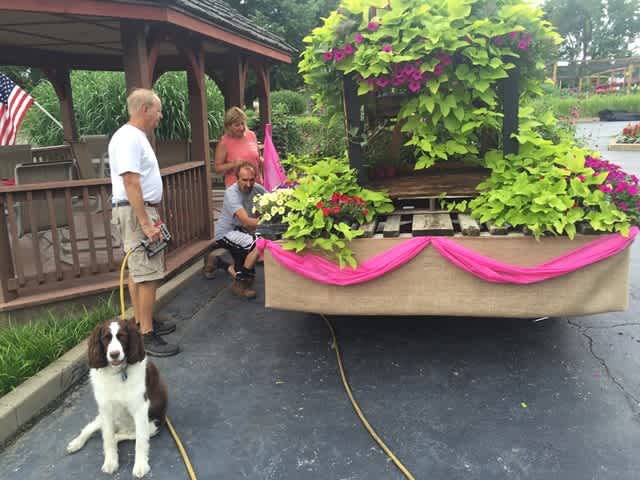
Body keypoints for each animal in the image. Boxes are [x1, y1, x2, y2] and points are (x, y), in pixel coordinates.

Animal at [67, 319, 168, 478]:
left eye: (122, 337)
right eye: (105, 338)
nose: (114, 354)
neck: (118, 373)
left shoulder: (140, 409)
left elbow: (140, 441)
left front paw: (140, 465)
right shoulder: (106, 409)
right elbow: (107, 437)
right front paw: (110, 462)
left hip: (153, 426)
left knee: (127, 435)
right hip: (105, 417)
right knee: (92, 428)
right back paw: (77, 443)